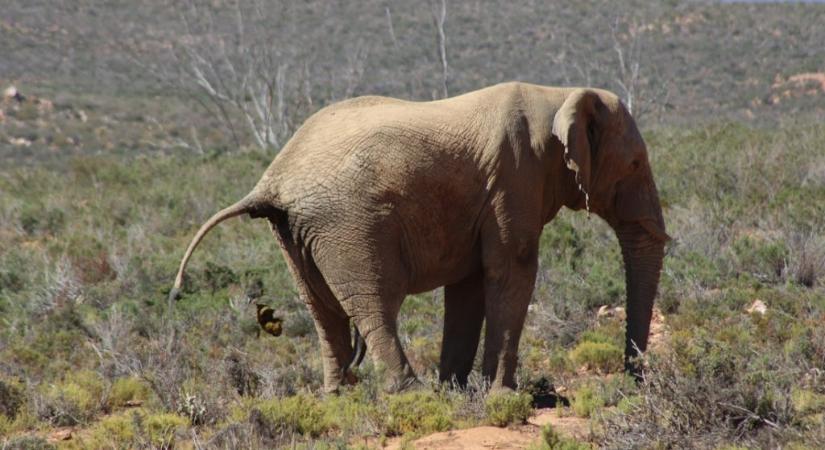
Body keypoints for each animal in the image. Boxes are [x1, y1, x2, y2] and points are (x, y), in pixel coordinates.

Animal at [171, 81, 668, 394]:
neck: (558, 96)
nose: (633, 379)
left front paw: (460, 392)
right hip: (346, 226)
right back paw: (411, 394)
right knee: (373, 304)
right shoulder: (514, 180)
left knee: (322, 310)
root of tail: (272, 179)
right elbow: (512, 270)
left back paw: (340, 399)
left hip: (297, 231)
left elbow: (470, 286)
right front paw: (503, 396)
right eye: (635, 165)